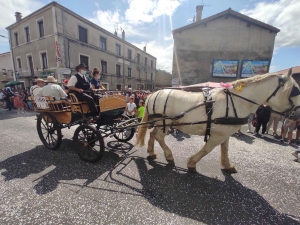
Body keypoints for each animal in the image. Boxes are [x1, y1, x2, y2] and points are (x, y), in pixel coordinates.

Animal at [137, 67, 300, 173]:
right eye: (295, 91)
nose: (298, 115)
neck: (237, 100)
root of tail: (153, 94)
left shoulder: (225, 131)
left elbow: (225, 149)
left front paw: (228, 165)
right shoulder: (217, 134)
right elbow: (207, 149)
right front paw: (191, 163)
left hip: (160, 123)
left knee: (152, 134)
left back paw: (151, 153)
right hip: (165, 123)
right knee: (158, 136)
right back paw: (169, 156)